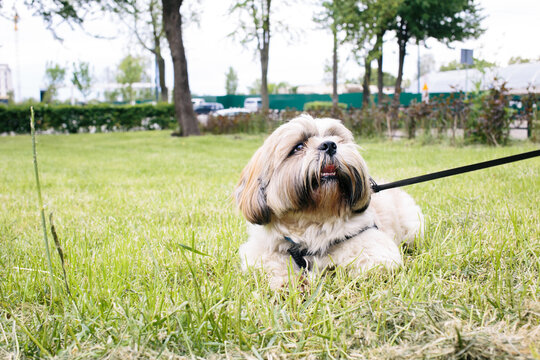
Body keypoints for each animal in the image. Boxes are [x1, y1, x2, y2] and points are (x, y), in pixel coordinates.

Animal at [234, 114, 424, 288]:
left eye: (336, 138)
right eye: (298, 146)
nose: (330, 145)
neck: (314, 218)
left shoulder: (374, 249)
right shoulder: (261, 253)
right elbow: (275, 265)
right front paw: (289, 284)